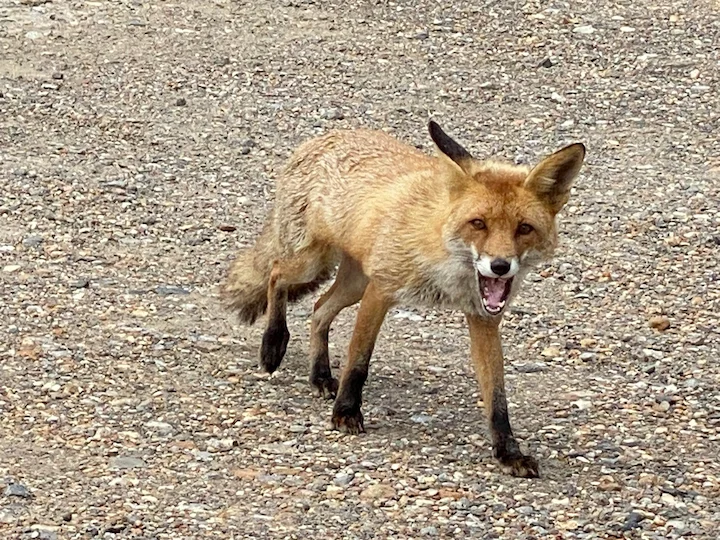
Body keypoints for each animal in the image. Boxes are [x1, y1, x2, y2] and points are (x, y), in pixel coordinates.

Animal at [223, 121, 585, 478]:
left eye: (524, 228)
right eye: (478, 223)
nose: (500, 266)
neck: (444, 259)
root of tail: (324, 136)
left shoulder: (483, 317)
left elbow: (497, 395)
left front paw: (509, 452)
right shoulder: (381, 289)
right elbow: (358, 361)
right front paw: (346, 413)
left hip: (353, 283)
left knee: (319, 309)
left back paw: (321, 376)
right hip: (315, 264)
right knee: (276, 273)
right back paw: (273, 344)